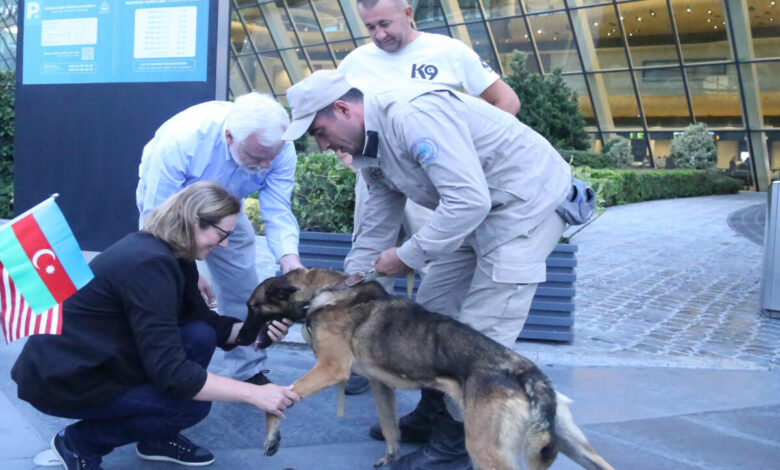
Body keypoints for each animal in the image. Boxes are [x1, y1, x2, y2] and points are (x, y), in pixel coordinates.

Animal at [238, 268, 616, 470]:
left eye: (253, 307)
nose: (237, 338)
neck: (324, 290)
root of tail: (524, 370)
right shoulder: (381, 386)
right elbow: (390, 428)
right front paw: (392, 459)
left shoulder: (330, 370)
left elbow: (279, 402)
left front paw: (272, 439)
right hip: (574, 446)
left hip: (487, 448)